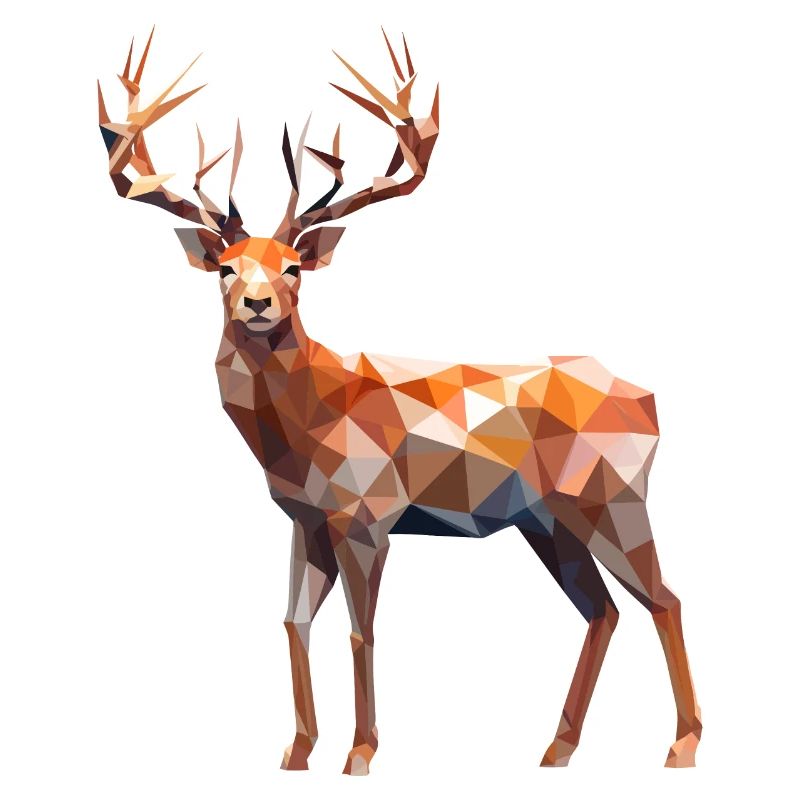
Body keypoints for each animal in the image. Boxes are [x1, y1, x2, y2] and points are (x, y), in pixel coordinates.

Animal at [97, 28, 702, 775]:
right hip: (547, 522)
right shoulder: (305, 521)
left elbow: (362, 633)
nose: (258, 303)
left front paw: (360, 754)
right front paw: (296, 754)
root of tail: (648, 400)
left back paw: (681, 747)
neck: (311, 423)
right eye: (225, 267)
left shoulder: (368, 515)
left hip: (611, 497)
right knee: (603, 611)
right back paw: (555, 750)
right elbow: (293, 622)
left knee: (665, 600)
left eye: (294, 266)